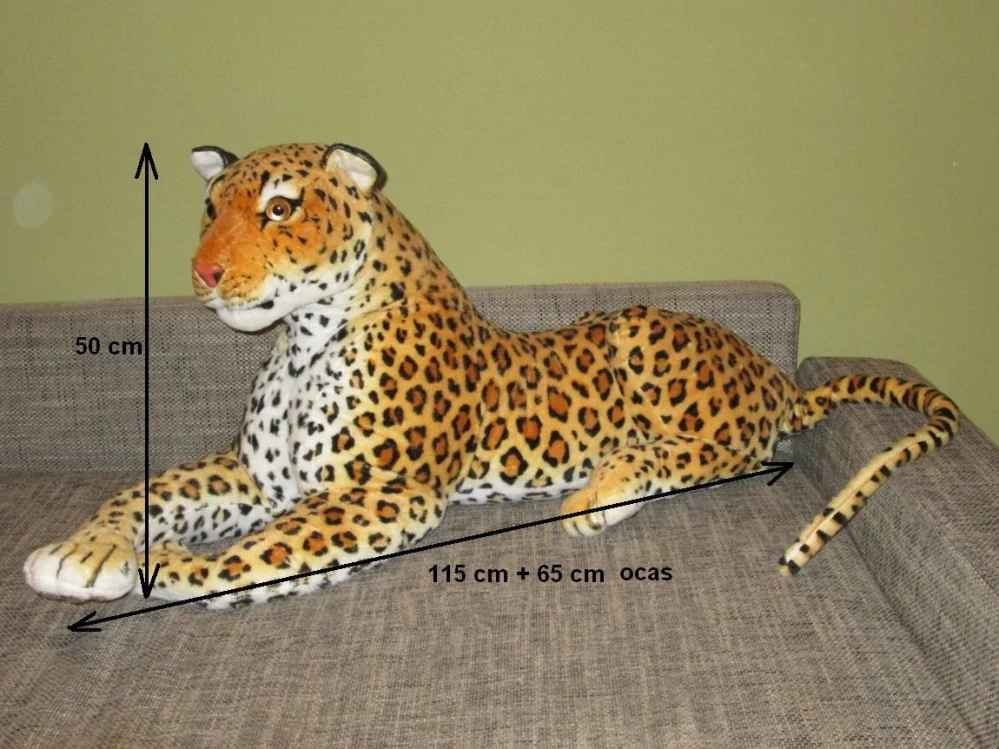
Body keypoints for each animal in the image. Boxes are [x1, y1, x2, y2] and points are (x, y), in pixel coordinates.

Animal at [24, 142, 961, 609]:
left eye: (280, 207)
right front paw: (84, 548)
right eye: (210, 209)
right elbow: (153, 488)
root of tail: (775, 374)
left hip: (641, 335)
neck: (301, 343)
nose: (203, 272)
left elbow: (257, 554)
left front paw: (158, 573)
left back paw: (597, 495)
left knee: (706, 453)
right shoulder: (260, 476)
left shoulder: (384, 495)